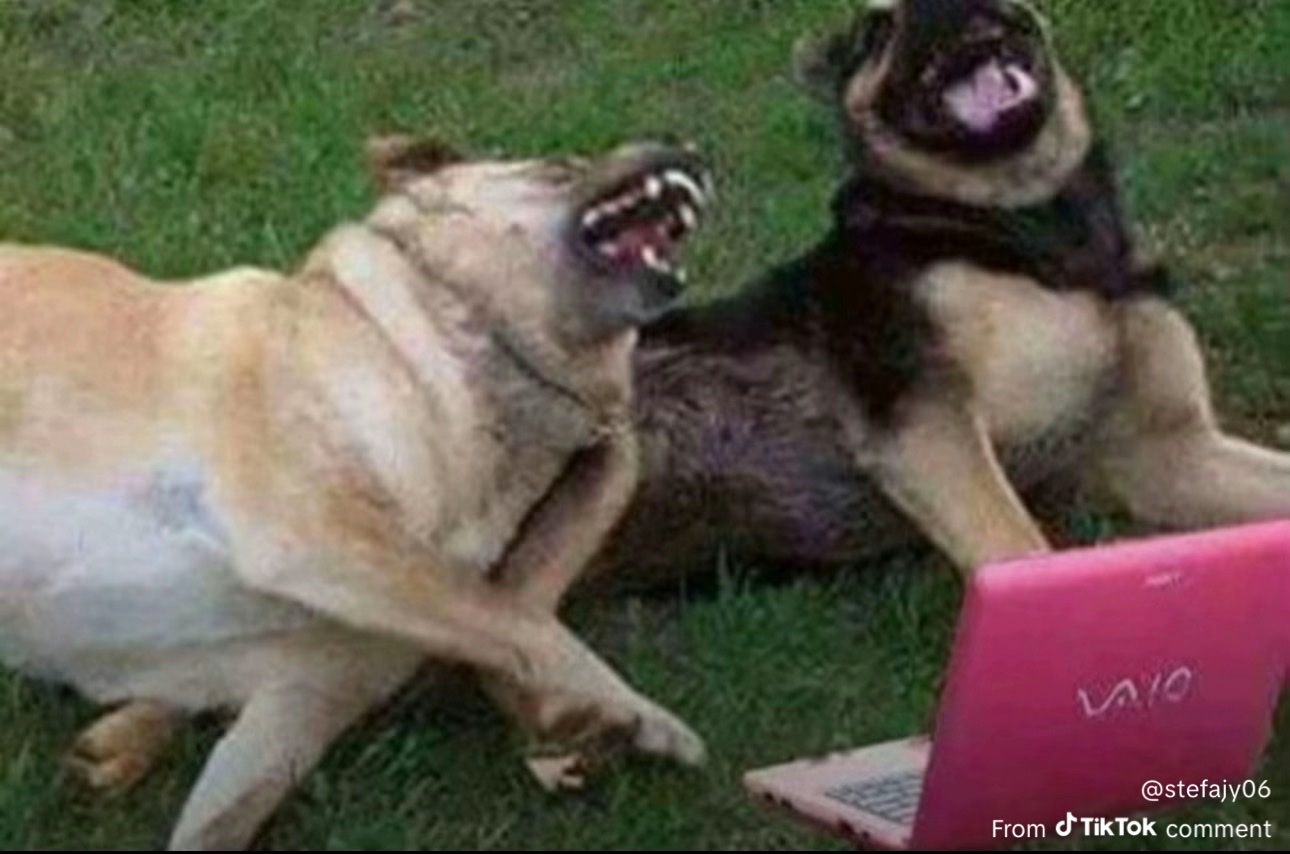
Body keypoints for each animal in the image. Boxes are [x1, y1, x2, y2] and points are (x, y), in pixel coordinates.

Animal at [0, 135, 712, 849]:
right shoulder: (315, 530)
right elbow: (515, 618)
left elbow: (221, 818)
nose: (690, 148)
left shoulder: (299, 703)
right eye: (558, 167)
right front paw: (632, 713)